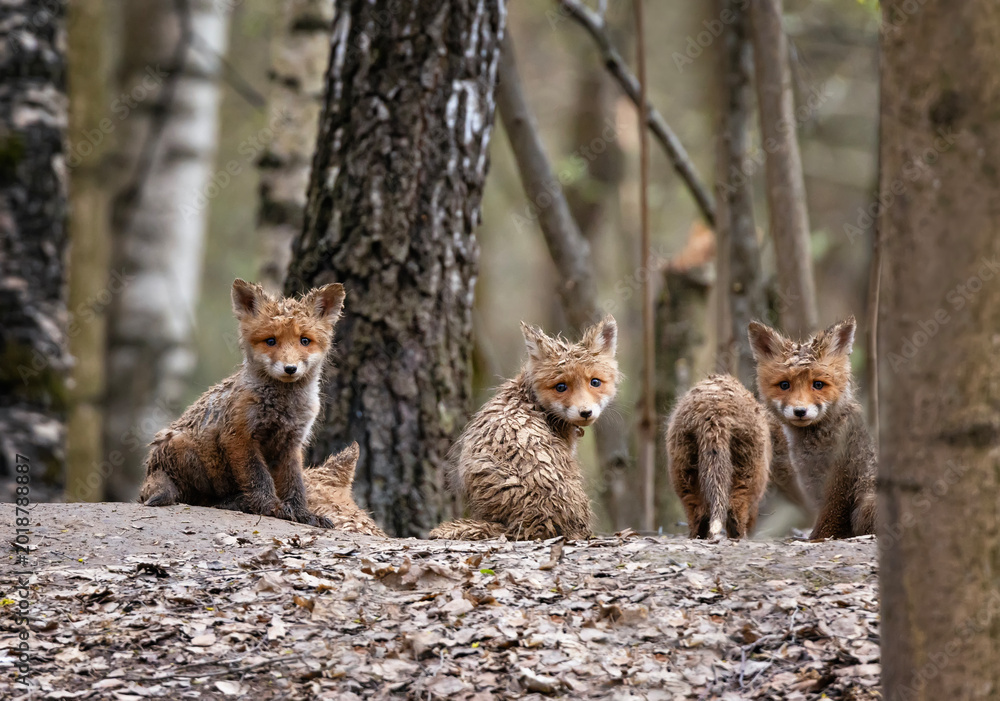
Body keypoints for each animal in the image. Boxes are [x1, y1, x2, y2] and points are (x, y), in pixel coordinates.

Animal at [138, 278, 346, 528]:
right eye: (271, 341)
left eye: (304, 341)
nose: (290, 368)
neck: (283, 409)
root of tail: (151, 471)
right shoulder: (239, 437)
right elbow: (258, 478)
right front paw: (272, 507)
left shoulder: (291, 443)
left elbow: (295, 484)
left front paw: (303, 513)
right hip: (186, 450)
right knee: (197, 498)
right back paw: (235, 502)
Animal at [666, 374, 771, 540]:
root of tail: (714, 413)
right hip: (747, 468)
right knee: (736, 508)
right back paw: (739, 537)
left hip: (684, 467)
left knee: (696, 512)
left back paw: (698, 536)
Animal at [748, 316, 877, 540]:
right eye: (785, 385)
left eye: (818, 385)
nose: (800, 411)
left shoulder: (840, 478)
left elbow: (828, 522)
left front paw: (814, 540)